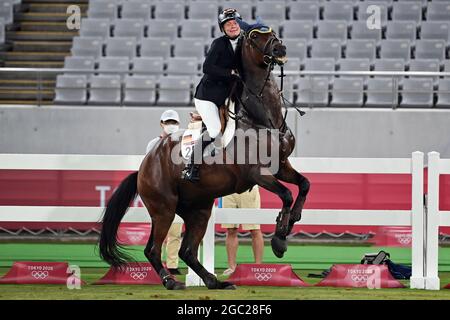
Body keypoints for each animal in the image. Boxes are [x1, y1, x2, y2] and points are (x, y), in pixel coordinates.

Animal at [98, 28, 310, 290]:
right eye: (253, 37)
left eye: (271, 31)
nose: (281, 49)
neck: (264, 120)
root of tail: (145, 164)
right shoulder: (258, 173)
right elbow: (287, 194)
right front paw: (280, 238)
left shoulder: (280, 166)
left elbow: (303, 185)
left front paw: (292, 221)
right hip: (164, 209)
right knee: (153, 249)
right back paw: (171, 282)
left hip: (198, 210)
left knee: (186, 251)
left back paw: (214, 281)